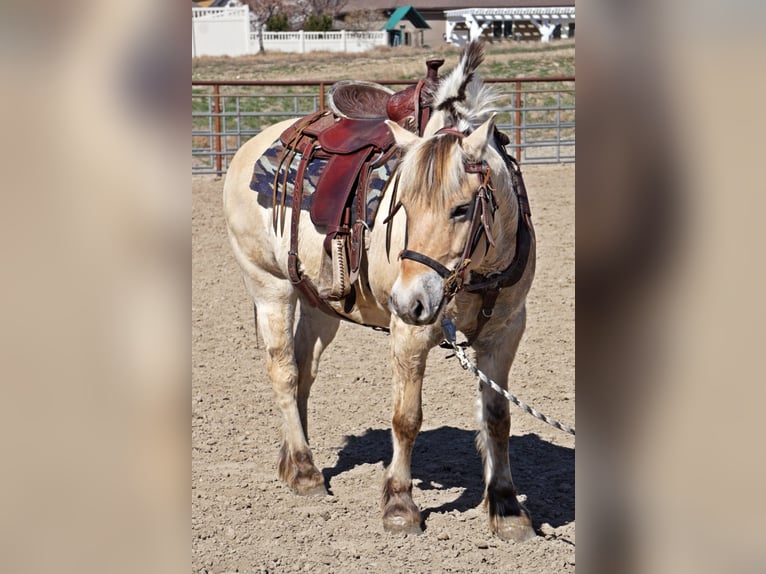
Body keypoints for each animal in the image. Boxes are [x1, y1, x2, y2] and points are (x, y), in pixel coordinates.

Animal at [222, 41, 536, 544]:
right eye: (400, 204)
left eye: (462, 208)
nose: (411, 301)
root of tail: (250, 148)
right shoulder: (408, 333)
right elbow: (406, 418)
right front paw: (400, 506)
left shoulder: (505, 331)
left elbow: (497, 418)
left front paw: (507, 509)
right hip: (269, 286)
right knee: (283, 372)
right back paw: (306, 472)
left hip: (319, 303)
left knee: (304, 370)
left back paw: (292, 460)